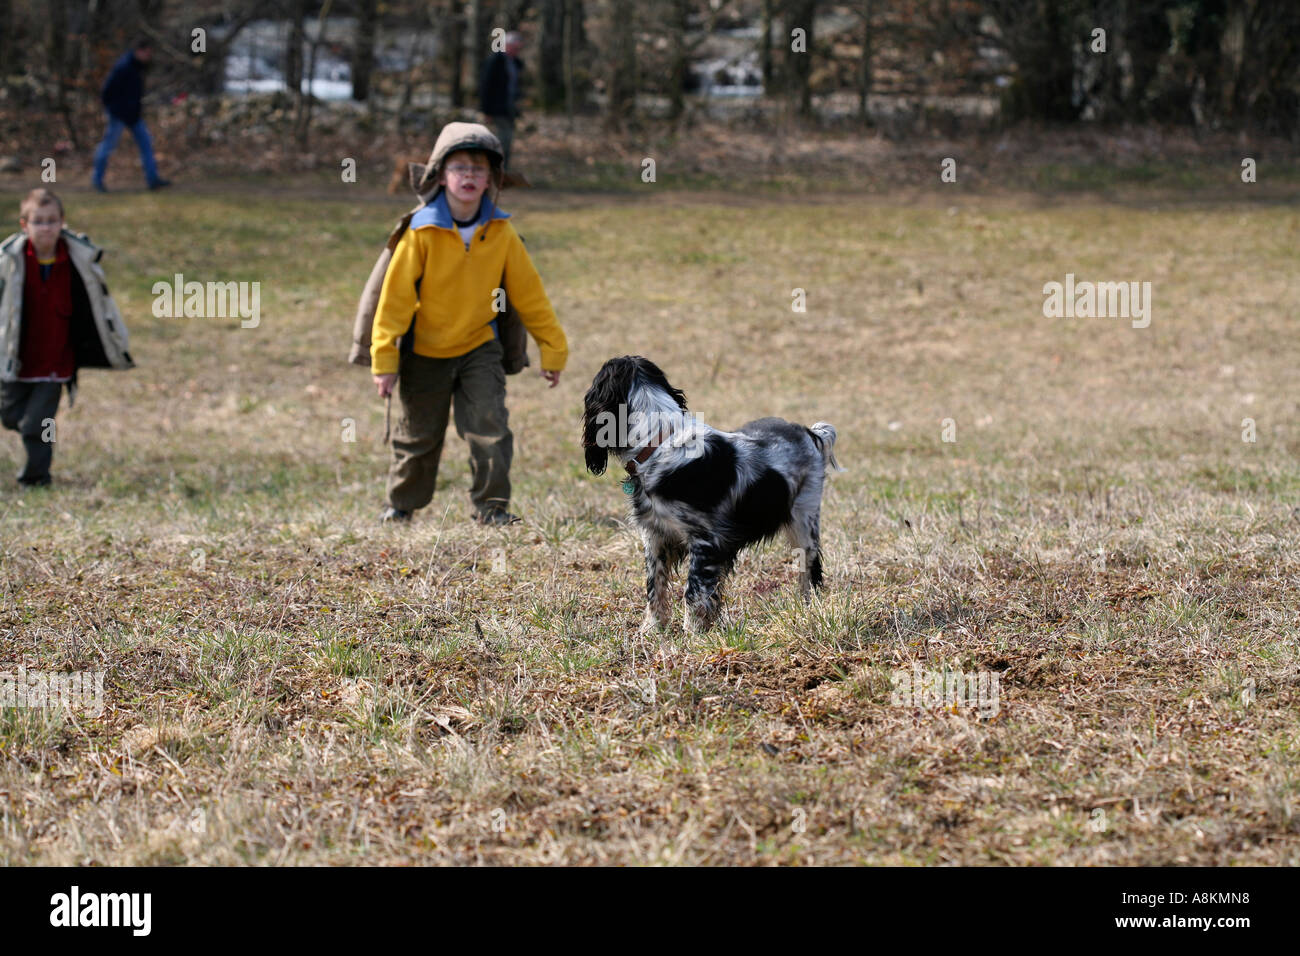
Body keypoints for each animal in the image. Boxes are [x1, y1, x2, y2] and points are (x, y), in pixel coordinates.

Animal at [582, 356, 842, 632]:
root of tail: (809, 432)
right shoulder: (655, 537)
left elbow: (693, 592)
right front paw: (652, 629)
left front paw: (693, 633)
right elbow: (655, 587)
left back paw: (808, 609)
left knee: (809, 571)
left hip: (804, 523)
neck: (659, 441)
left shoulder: (705, 540)